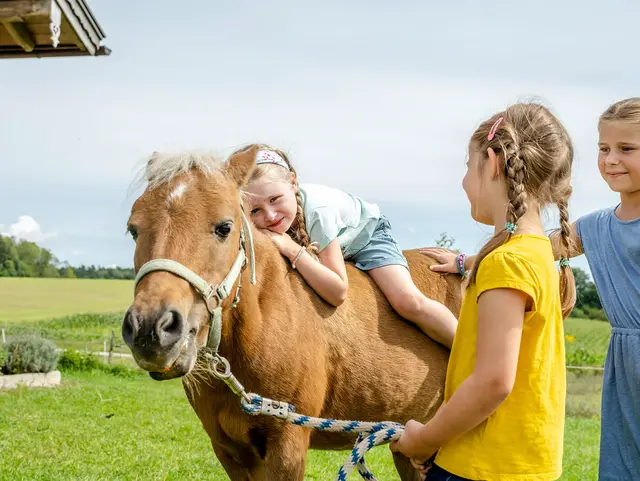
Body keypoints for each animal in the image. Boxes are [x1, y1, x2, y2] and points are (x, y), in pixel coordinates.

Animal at [124, 146, 464, 480]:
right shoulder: (229, 451)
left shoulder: (287, 446)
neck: (263, 323)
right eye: (133, 230)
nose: (151, 329)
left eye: (224, 227)